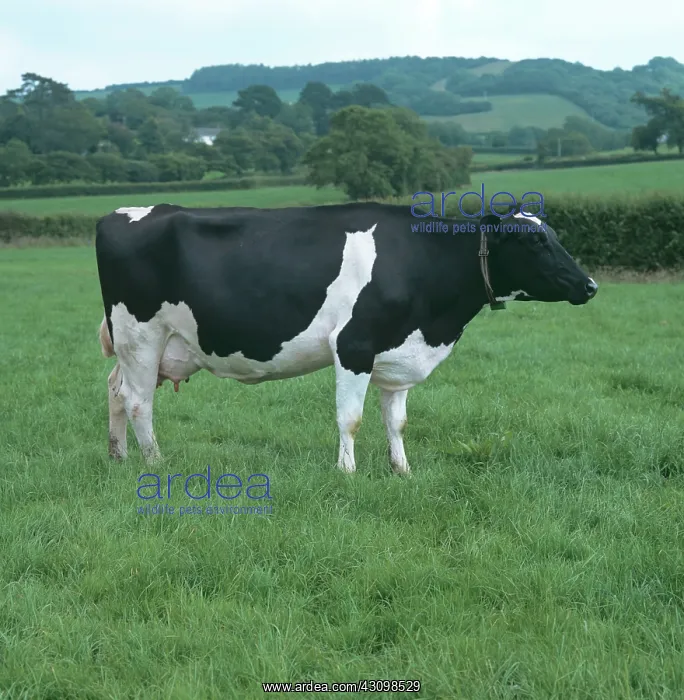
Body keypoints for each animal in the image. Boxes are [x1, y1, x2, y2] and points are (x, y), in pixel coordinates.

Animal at [95, 202, 597, 473]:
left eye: (553, 234)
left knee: (116, 390)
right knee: (139, 401)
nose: (589, 285)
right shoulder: (354, 346)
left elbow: (397, 422)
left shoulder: (396, 356)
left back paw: (119, 456)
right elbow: (350, 419)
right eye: (533, 241)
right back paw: (154, 462)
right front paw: (347, 472)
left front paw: (402, 470)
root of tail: (120, 213)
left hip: (142, 345)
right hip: (141, 335)